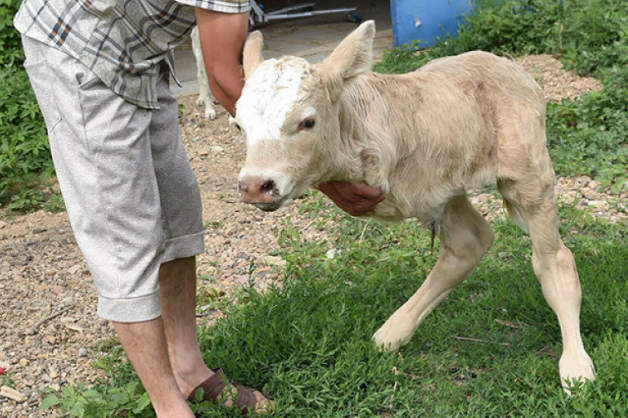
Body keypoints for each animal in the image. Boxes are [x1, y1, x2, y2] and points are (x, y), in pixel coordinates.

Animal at [234, 20, 592, 392]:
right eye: (239, 125)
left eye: (307, 122)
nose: (255, 186)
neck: (354, 125)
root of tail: (508, 66)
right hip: (442, 181)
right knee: (470, 242)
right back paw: (392, 333)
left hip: (527, 170)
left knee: (553, 258)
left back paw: (575, 365)